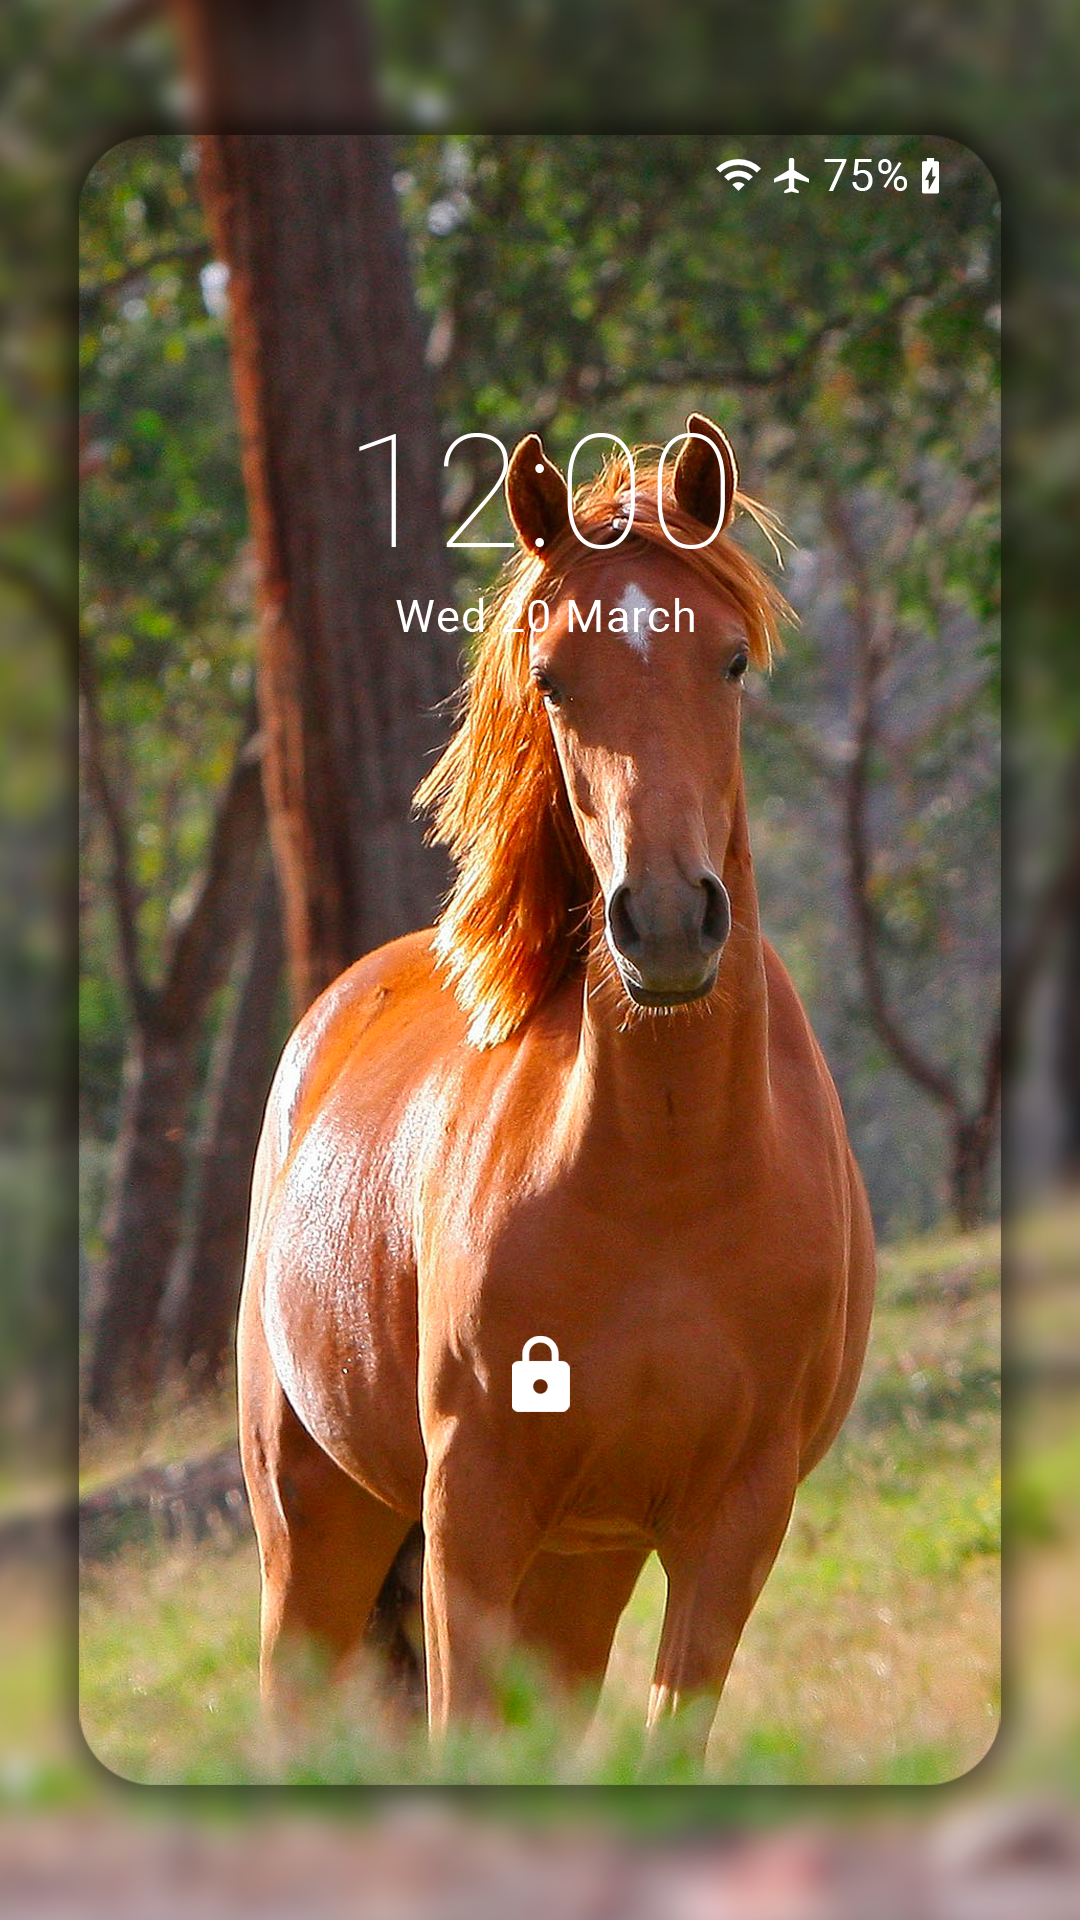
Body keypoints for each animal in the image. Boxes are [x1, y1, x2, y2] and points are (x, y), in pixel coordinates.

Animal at [237, 413, 876, 1771]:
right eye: (552, 680)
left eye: (730, 663)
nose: (669, 922)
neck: (670, 1176)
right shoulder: (472, 1506)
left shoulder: (732, 1521)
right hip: (318, 1529)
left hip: (581, 1569)